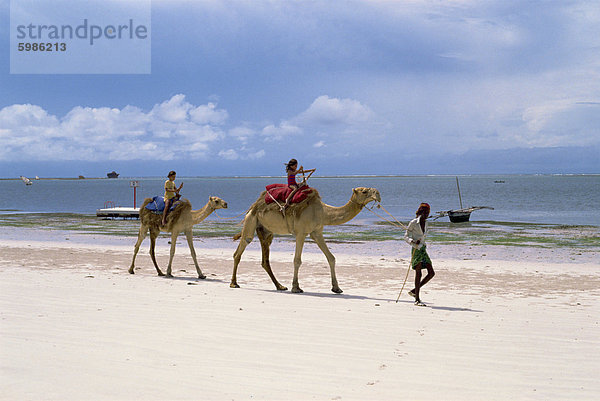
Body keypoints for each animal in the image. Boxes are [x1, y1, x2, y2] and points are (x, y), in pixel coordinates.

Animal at [230, 186, 380, 292]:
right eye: (364, 191)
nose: (378, 194)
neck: (323, 212)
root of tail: (253, 206)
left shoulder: (317, 232)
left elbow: (331, 258)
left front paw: (336, 288)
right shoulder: (301, 232)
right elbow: (297, 260)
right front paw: (296, 287)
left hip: (266, 230)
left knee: (265, 259)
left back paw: (280, 286)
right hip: (251, 220)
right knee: (241, 248)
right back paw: (234, 283)